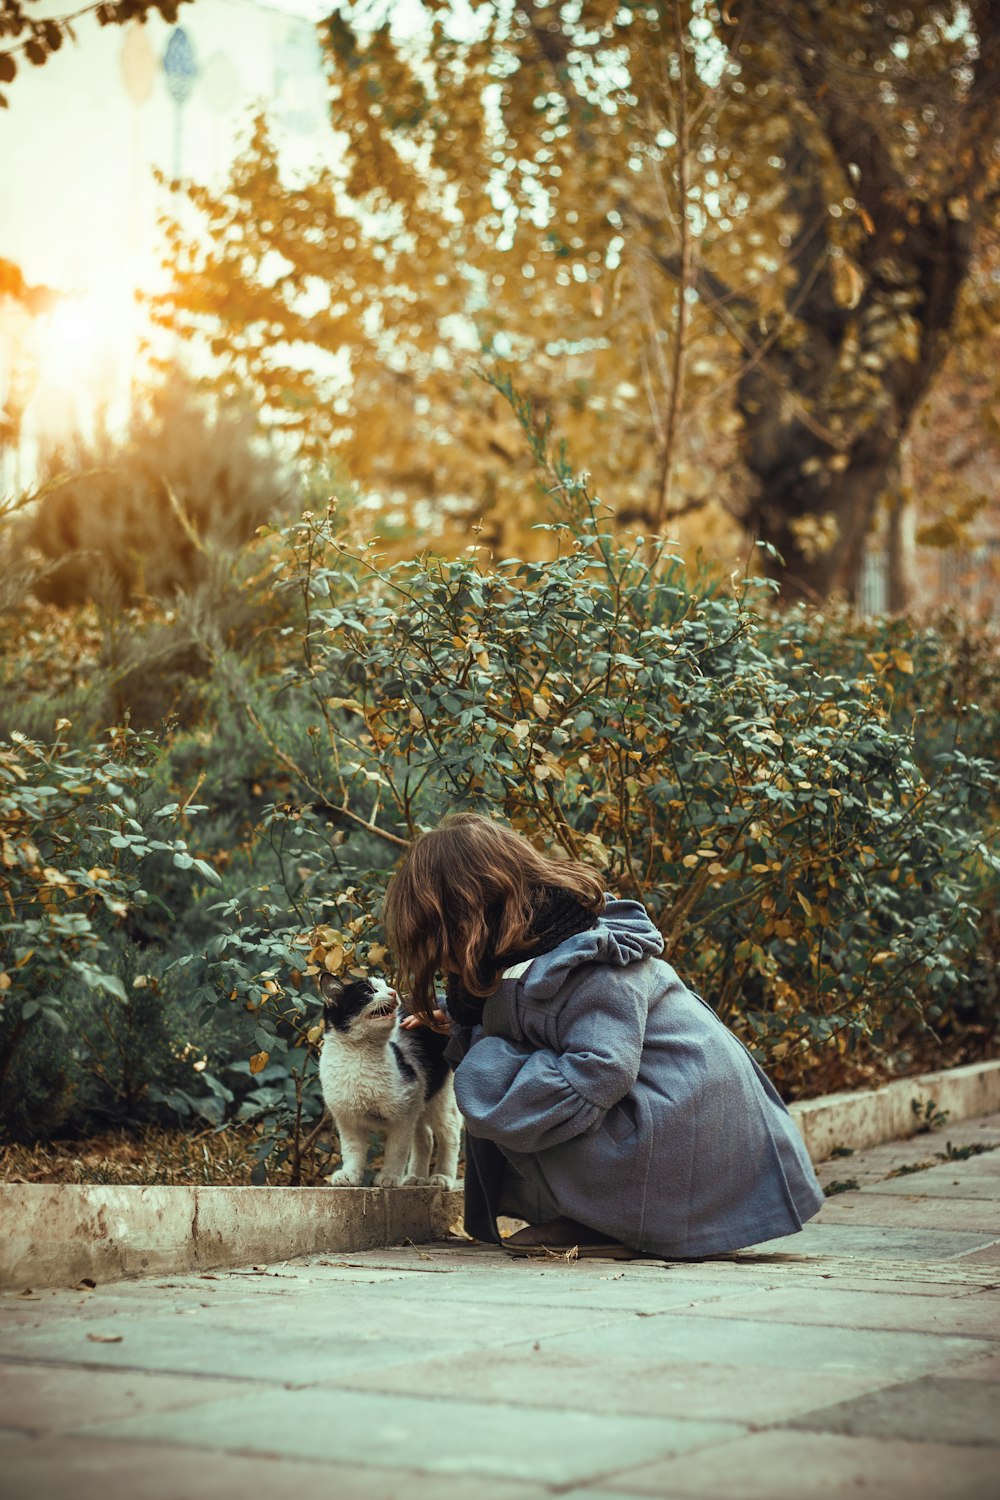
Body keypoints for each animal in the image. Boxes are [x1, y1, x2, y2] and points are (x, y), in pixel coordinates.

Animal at [319, 978, 464, 1188]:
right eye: (368, 991)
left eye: (386, 985)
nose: (394, 992)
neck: (359, 1056)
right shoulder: (347, 1120)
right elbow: (352, 1150)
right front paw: (350, 1175)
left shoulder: (403, 1114)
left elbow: (396, 1150)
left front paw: (389, 1176)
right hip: (419, 1100)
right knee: (426, 1138)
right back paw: (415, 1178)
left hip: (440, 1097)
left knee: (449, 1134)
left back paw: (442, 1177)